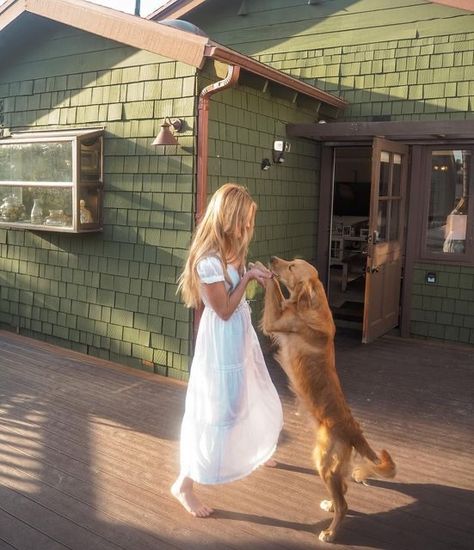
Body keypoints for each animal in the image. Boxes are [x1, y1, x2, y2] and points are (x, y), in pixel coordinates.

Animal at [260, 258, 396, 544]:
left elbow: (273, 288)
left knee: (345, 503)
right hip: (332, 465)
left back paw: (331, 532)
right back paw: (331, 505)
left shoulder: (275, 321)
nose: (272, 260)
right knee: (342, 489)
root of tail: (354, 431)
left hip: (323, 461)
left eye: (292, 267)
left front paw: (261, 270)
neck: (310, 305)